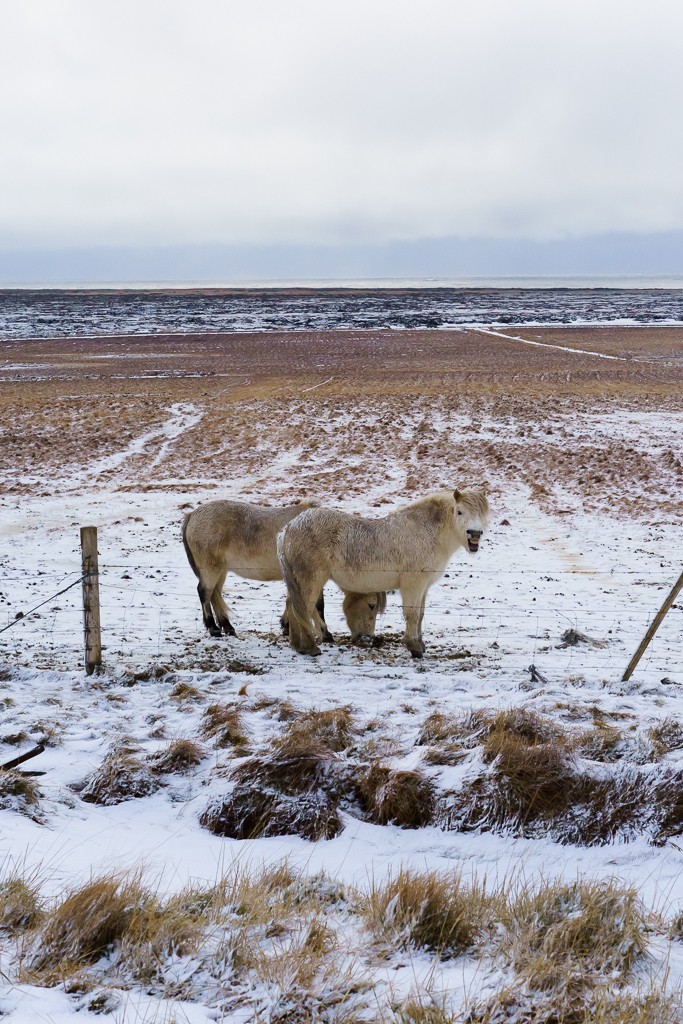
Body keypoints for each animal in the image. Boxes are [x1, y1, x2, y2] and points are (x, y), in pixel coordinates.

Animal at [274, 491, 489, 659]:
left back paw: (298, 646)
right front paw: (414, 647)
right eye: (459, 511)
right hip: (311, 580)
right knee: (301, 610)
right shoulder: (413, 584)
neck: (425, 532)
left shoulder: (424, 586)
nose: (474, 534)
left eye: (482, 514)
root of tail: (288, 529)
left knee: (294, 608)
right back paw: (309, 648)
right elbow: (412, 614)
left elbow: (420, 615)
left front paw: (420, 645)